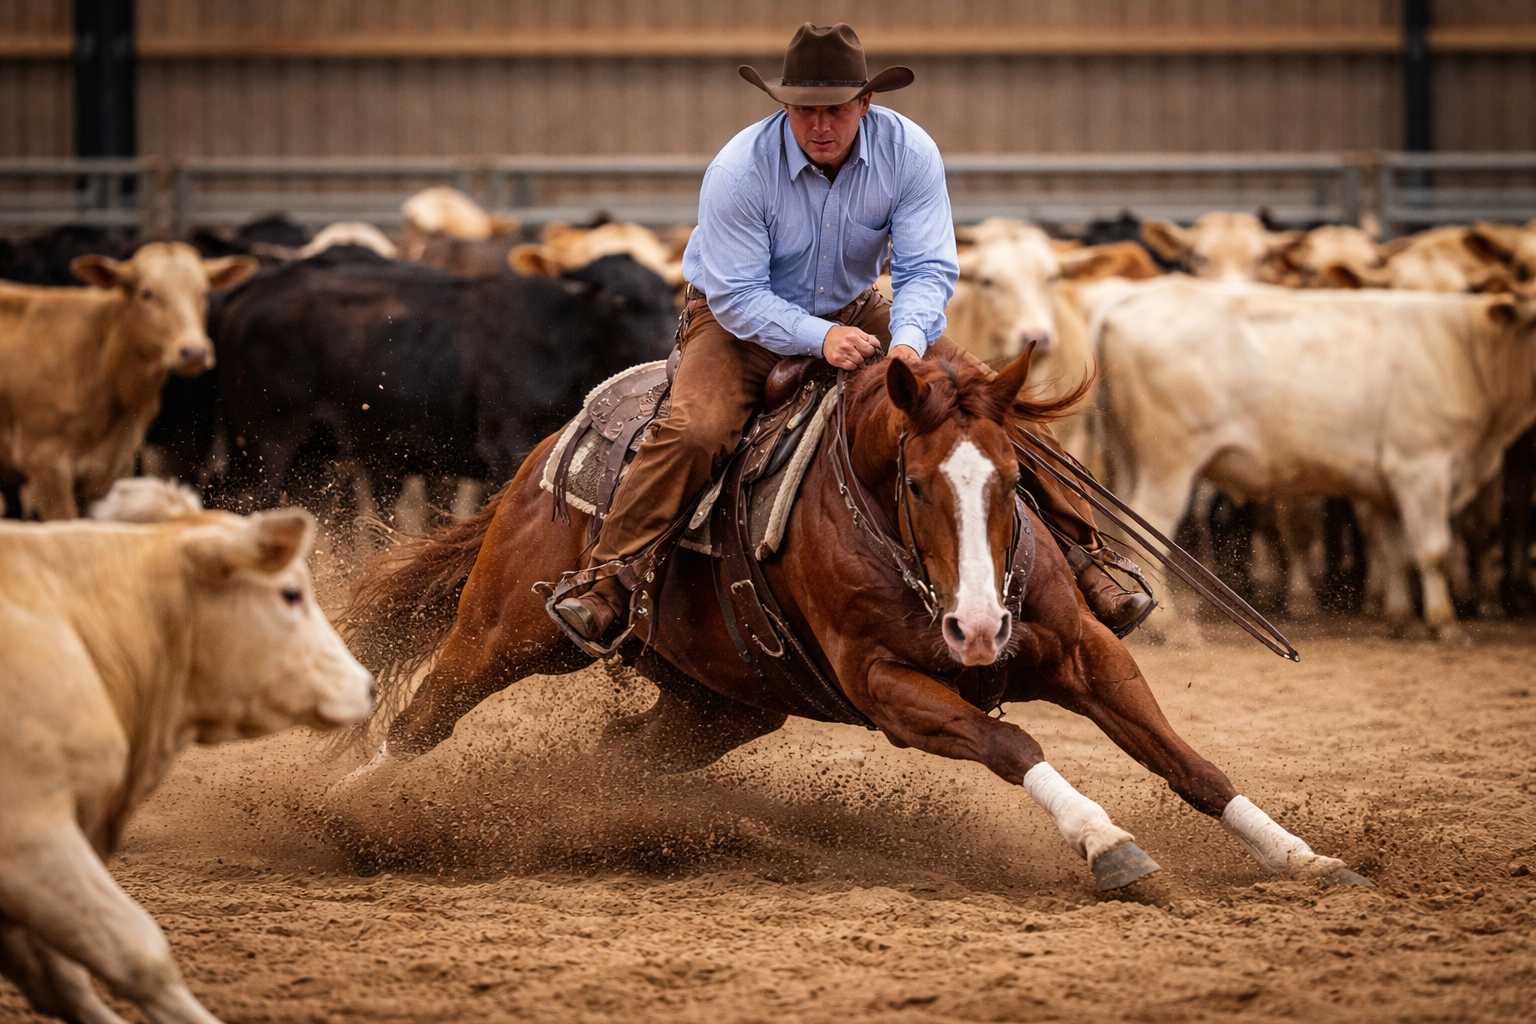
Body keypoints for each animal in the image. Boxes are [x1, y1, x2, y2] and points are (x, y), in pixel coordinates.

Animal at [337, 343, 1368, 891]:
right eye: (914, 484)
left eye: (1013, 480)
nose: (978, 632)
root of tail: (559, 442)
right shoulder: (890, 691)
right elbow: (1016, 747)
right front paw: (1108, 844)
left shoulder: (1088, 654)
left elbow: (1192, 765)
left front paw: (1303, 857)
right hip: (512, 632)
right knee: (426, 715)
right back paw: (345, 809)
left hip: (719, 708)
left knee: (616, 755)